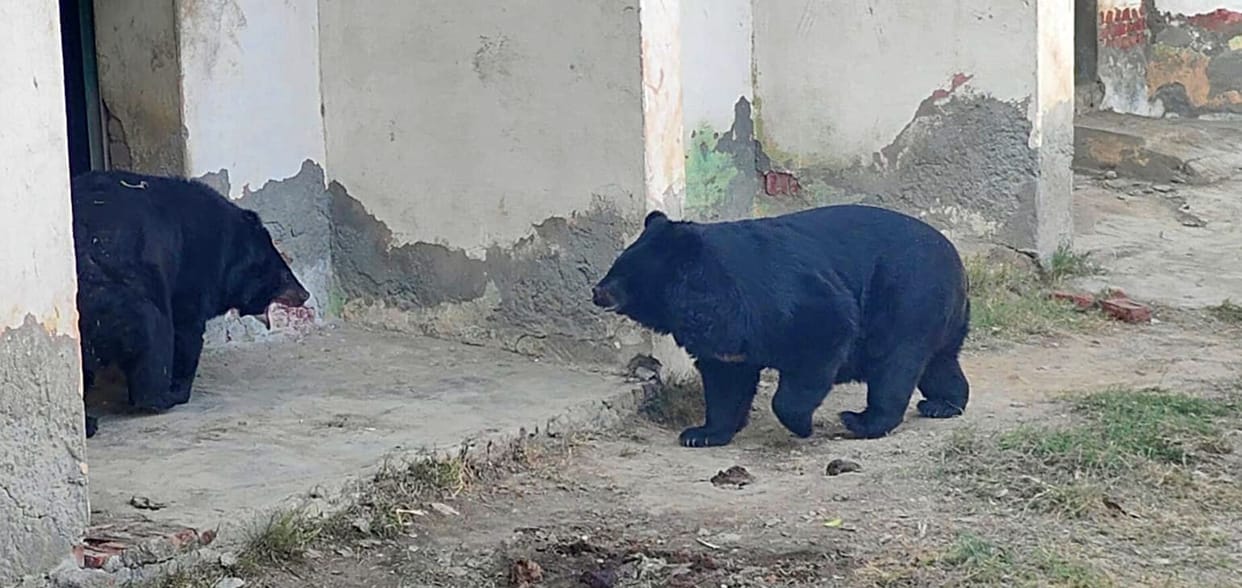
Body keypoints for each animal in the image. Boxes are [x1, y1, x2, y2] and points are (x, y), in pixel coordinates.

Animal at [72, 170, 311, 438]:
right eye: (284, 276)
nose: (304, 295)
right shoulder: (191, 269)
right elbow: (187, 328)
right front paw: (179, 387)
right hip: (129, 291)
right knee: (155, 338)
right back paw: (160, 398)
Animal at [591, 204, 971, 448]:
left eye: (623, 271)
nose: (597, 290)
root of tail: (956, 261)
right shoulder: (725, 337)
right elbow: (726, 379)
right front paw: (701, 433)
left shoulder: (782, 301)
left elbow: (824, 333)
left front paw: (801, 424)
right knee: (938, 363)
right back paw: (942, 404)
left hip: (907, 298)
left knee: (894, 364)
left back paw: (861, 420)